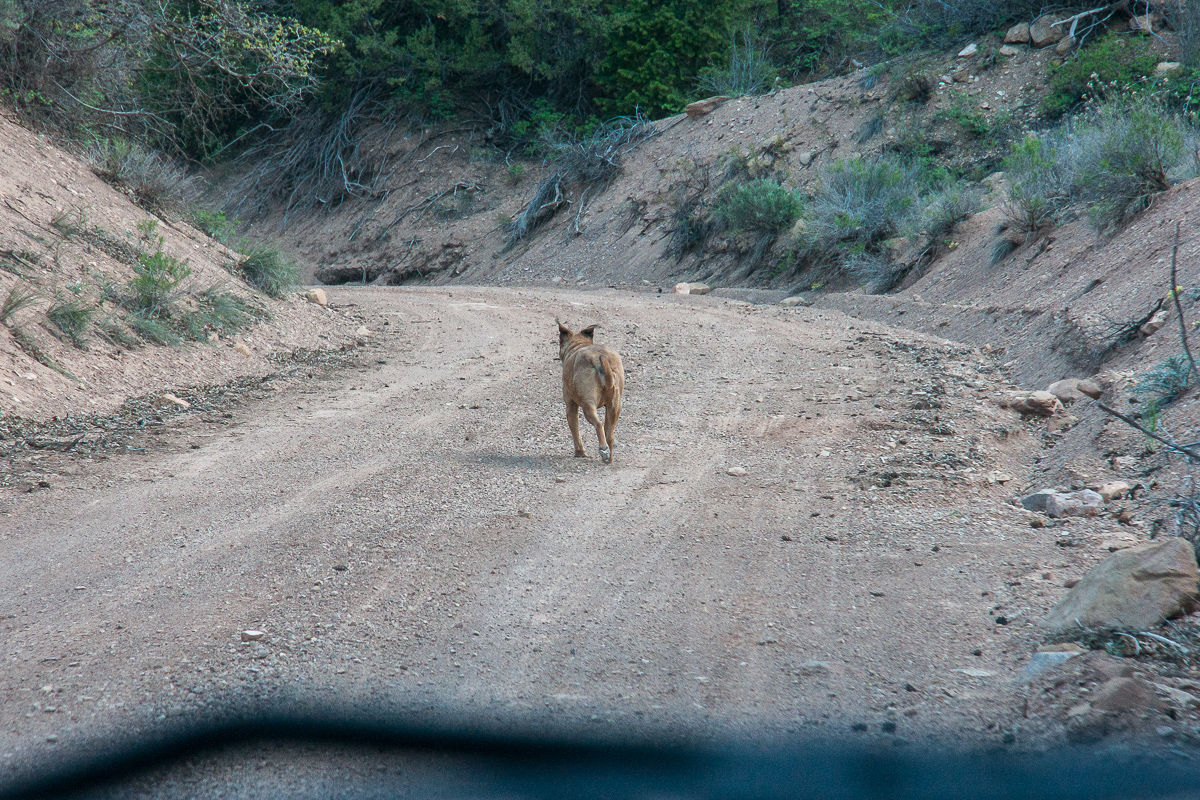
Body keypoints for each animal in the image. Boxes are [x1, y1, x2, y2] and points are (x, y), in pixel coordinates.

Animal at [556, 321, 624, 462]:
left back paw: (603, 448)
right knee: (609, 434)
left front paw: (580, 452)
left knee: (598, 425)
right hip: (614, 406)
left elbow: (575, 431)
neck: (579, 344)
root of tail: (599, 359)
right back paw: (608, 457)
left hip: (588, 405)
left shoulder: (570, 406)